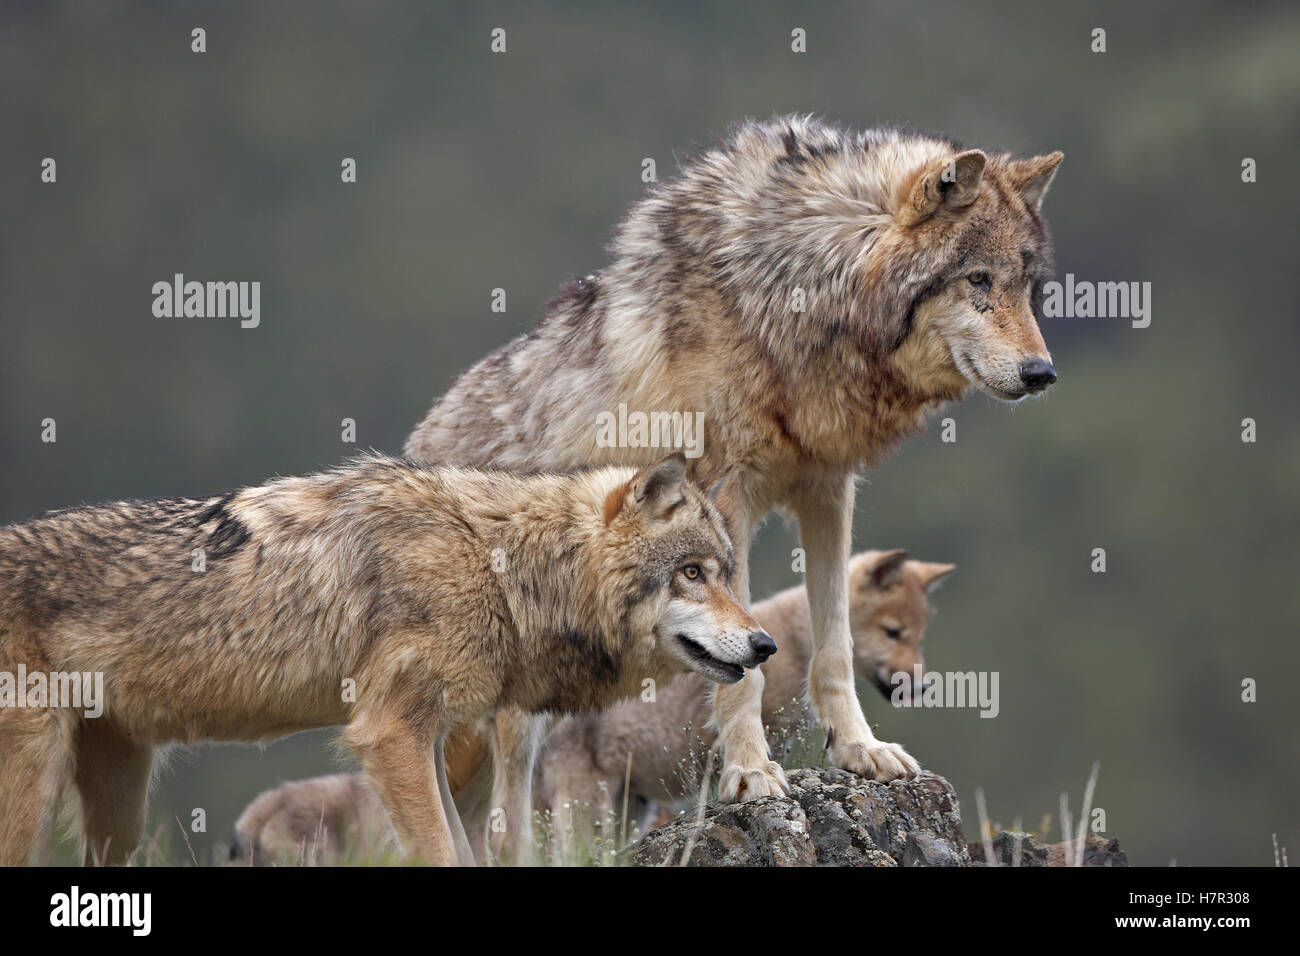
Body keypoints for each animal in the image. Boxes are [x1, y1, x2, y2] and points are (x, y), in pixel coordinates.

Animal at [0, 453, 772, 866]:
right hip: (36, 788)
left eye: (728, 573)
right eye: (693, 574)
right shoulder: (391, 734)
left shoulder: (426, 737)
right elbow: (444, 852)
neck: (499, 567)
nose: (763, 645)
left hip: (120, 803)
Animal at [405, 115, 1062, 857]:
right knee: (501, 821)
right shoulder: (727, 496)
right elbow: (744, 667)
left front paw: (859, 750)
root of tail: (418, 445)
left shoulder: (829, 489)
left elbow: (833, 643)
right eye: (978, 279)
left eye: (1027, 287)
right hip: (519, 718)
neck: (803, 286)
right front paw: (750, 773)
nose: (1043, 372)